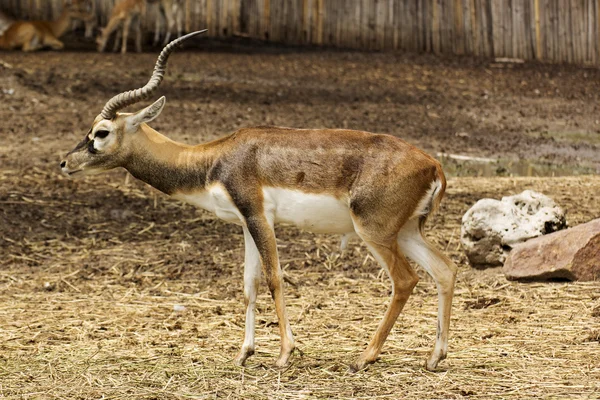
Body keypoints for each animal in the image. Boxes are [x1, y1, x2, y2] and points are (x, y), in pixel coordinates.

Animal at [59, 31, 454, 372]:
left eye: (101, 133)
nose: (65, 163)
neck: (214, 159)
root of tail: (432, 164)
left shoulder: (261, 217)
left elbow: (274, 278)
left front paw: (284, 355)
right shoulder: (246, 223)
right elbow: (249, 286)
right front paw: (243, 354)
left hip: (374, 232)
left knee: (405, 280)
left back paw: (364, 358)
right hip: (405, 232)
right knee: (445, 269)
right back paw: (434, 358)